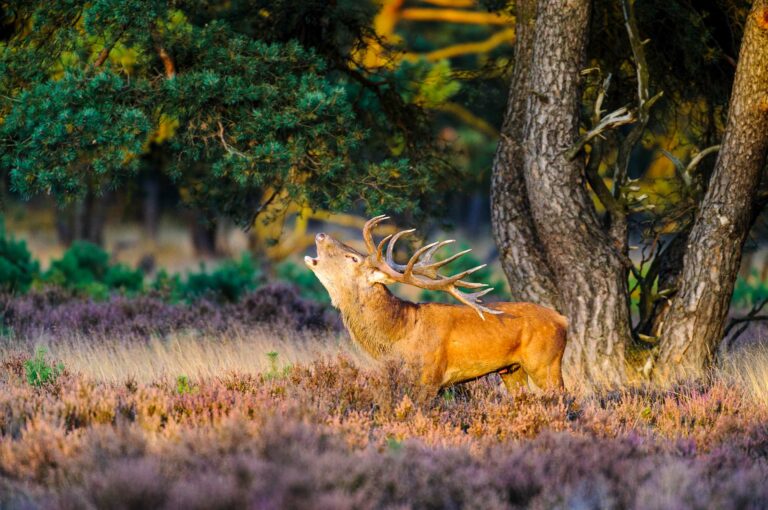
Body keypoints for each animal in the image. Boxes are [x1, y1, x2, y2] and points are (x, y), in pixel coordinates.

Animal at [304, 215, 568, 390]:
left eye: (352, 258)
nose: (321, 235)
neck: (398, 335)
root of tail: (563, 320)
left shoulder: (430, 376)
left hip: (546, 363)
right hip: (512, 370)